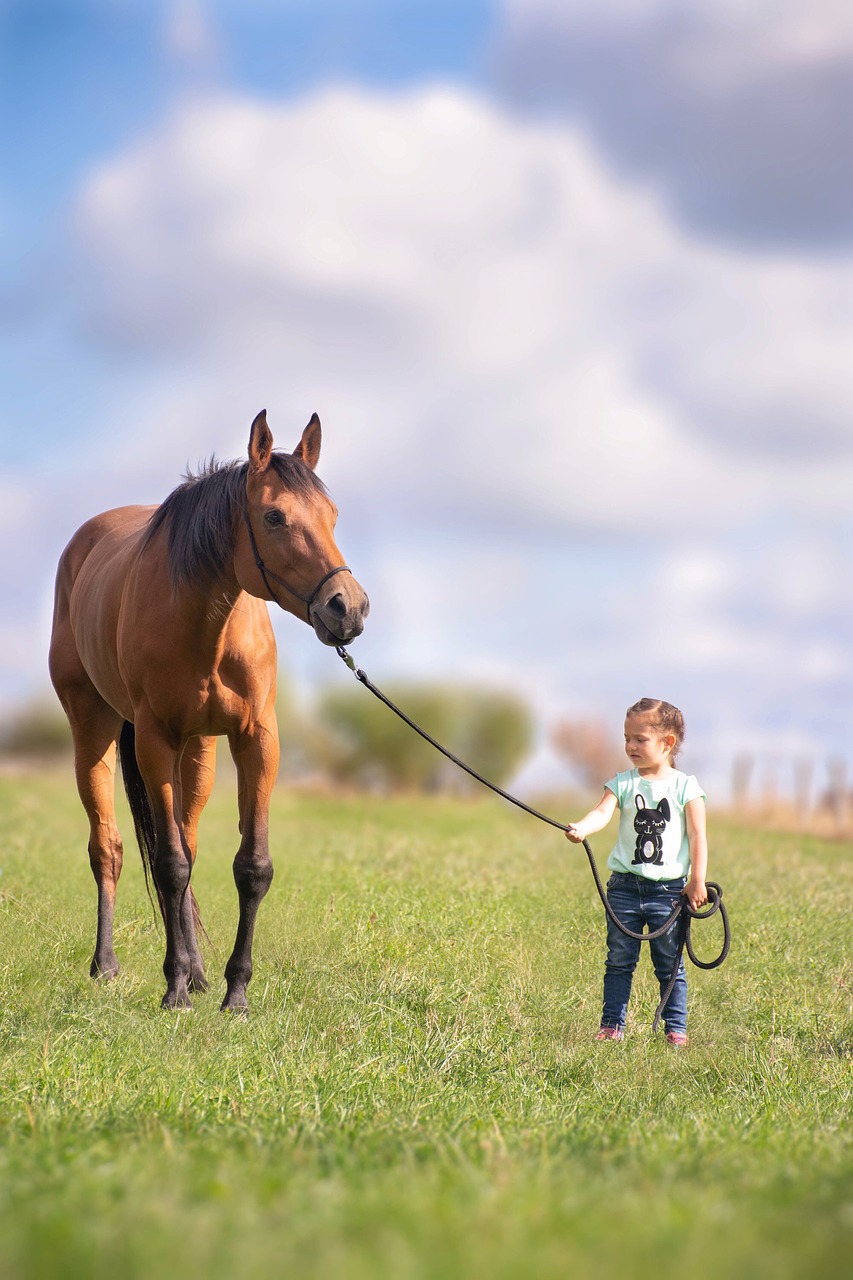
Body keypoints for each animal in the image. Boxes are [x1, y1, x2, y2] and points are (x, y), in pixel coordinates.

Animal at [48, 409, 368, 1008]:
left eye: (333, 516)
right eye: (273, 516)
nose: (349, 608)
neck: (206, 624)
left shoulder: (257, 741)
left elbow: (250, 866)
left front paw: (233, 990)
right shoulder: (154, 740)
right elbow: (169, 866)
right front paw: (175, 989)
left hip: (198, 750)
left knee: (187, 842)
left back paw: (197, 970)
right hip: (94, 730)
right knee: (110, 848)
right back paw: (107, 966)